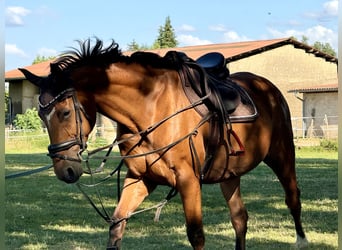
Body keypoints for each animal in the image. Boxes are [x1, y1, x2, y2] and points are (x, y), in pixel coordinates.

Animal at [18, 38, 308, 249]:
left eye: (65, 112)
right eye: (42, 116)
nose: (65, 170)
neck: (149, 107)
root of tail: (267, 87)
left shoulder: (188, 181)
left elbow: (196, 234)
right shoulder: (140, 178)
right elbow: (117, 224)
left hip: (282, 156)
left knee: (292, 199)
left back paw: (302, 241)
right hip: (229, 173)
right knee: (240, 218)